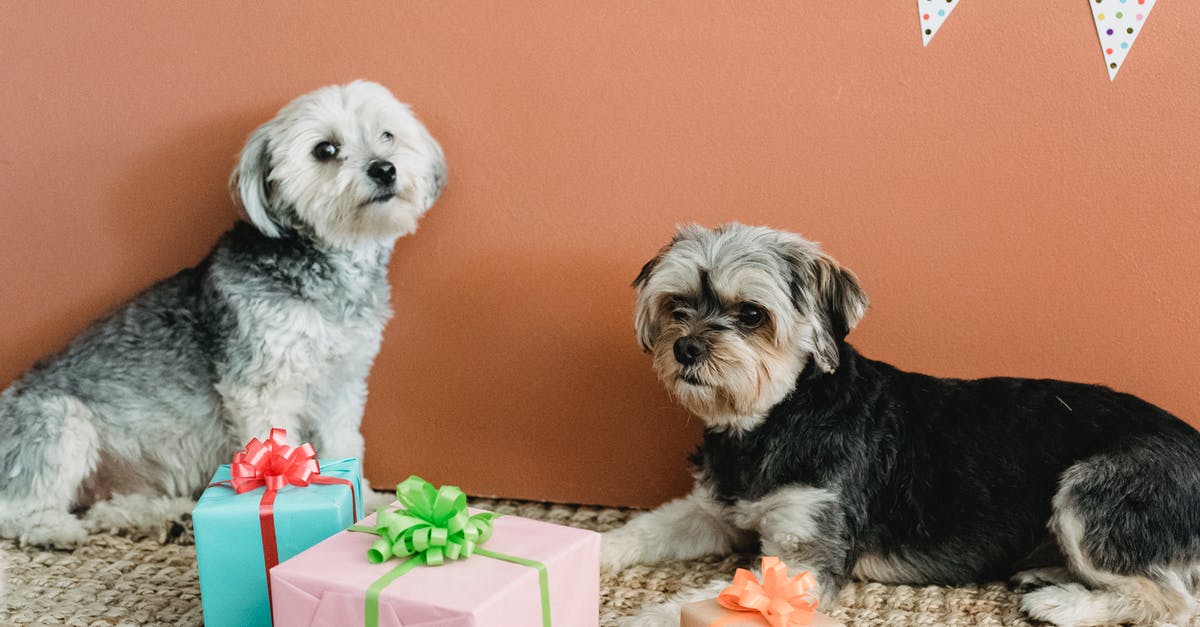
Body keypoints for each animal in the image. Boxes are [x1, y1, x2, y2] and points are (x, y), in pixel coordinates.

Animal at [0, 80, 446, 542]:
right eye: (324, 149)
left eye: (387, 135)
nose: (384, 168)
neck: (323, 267)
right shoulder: (263, 385)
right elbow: (276, 447)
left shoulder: (341, 383)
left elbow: (345, 442)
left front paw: (369, 503)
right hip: (59, 422)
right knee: (17, 509)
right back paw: (55, 529)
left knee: (105, 505)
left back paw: (161, 517)